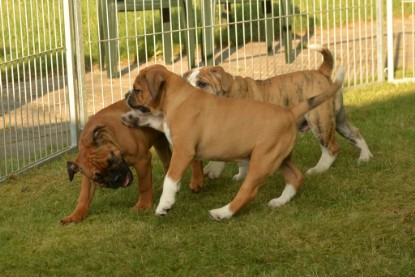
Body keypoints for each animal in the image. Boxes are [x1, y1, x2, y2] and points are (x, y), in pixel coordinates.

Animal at [126, 63, 344, 219]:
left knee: (248, 191)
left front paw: (164, 205)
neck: (178, 97)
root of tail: (290, 112)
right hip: (278, 157)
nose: (127, 95)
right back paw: (280, 201)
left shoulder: (183, 151)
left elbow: (170, 179)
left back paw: (223, 213)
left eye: (137, 90)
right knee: (295, 176)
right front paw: (132, 118)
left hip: (262, 160)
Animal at [185, 44, 374, 176]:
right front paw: (240, 175)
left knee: (331, 148)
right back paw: (365, 157)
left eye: (202, 83)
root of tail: (321, 71)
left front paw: (213, 169)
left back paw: (318, 169)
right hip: (338, 118)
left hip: (319, 119)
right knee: (355, 133)